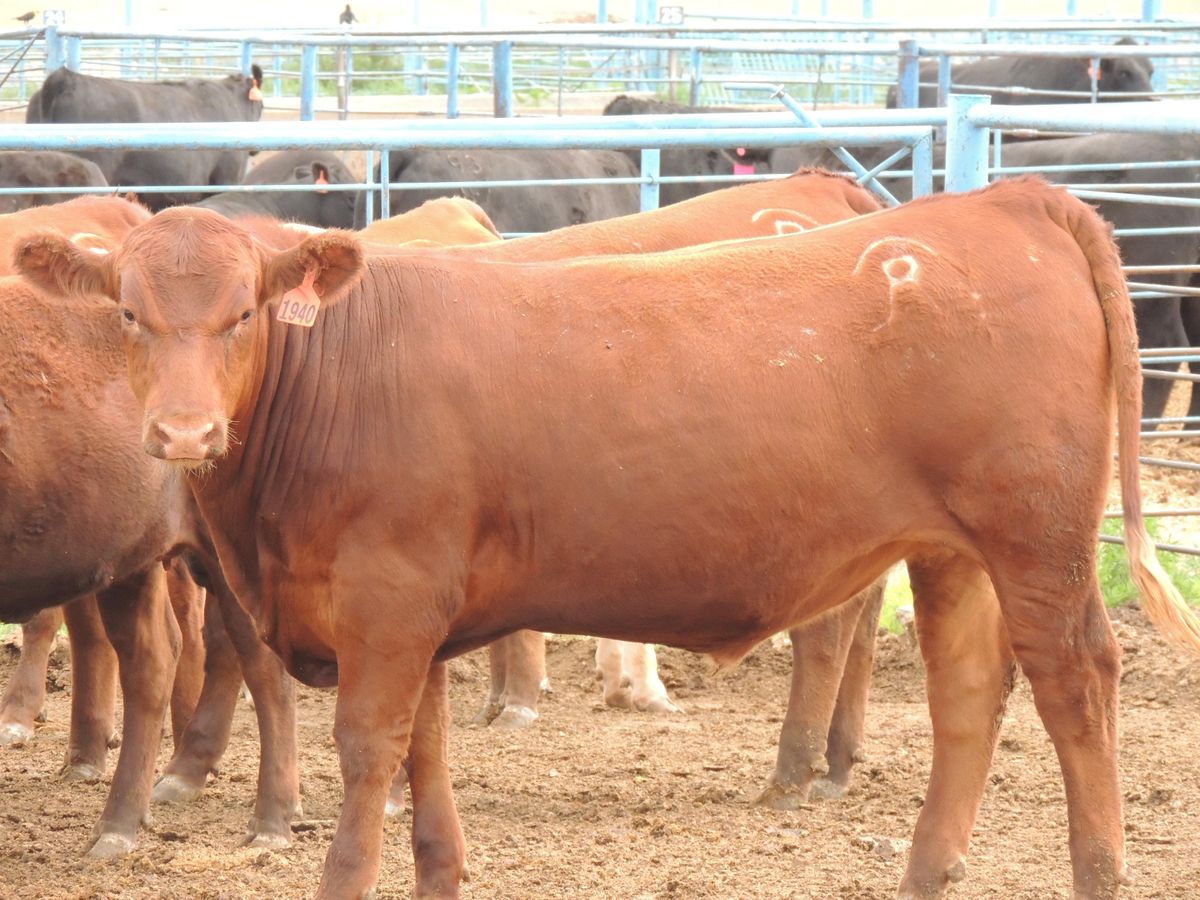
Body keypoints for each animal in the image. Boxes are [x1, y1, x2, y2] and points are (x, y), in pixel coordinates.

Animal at [18, 177, 1200, 900]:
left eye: (243, 315)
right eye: (128, 313)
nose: (183, 433)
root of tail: (1000, 203)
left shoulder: (387, 606)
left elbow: (367, 751)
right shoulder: (418, 617)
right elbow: (424, 755)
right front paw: (439, 873)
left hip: (1037, 538)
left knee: (1075, 685)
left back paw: (1096, 871)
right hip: (953, 551)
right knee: (967, 693)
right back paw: (923, 872)